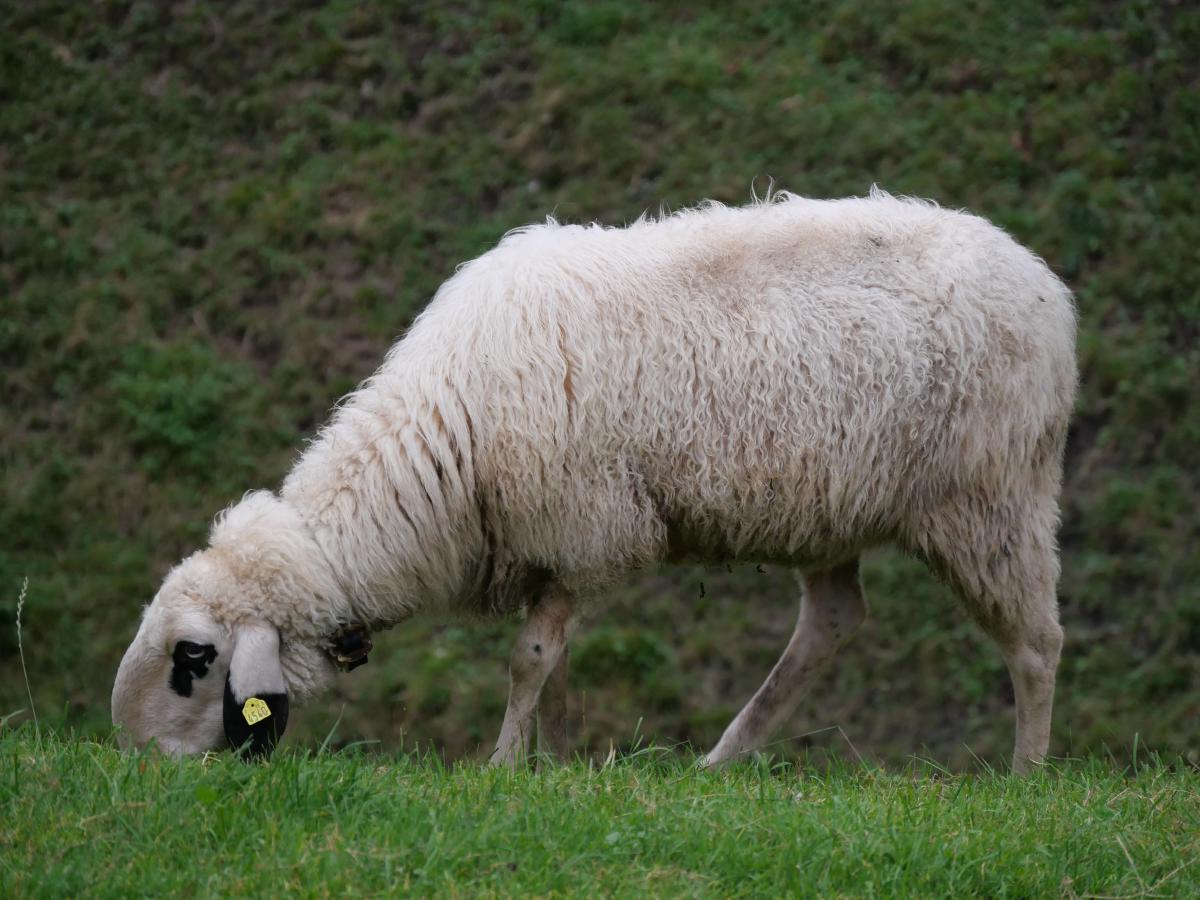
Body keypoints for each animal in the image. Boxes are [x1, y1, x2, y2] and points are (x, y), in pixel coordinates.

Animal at [112, 189, 1077, 771]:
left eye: (192, 660)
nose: (137, 768)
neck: (446, 430)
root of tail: (1041, 282)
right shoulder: (554, 547)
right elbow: (557, 664)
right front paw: (560, 765)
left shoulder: (577, 525)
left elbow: (530, 658)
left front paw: (503, 766)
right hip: (831, 506)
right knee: (833, 623)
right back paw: (721, 762)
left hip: (991, 495)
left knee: (1036, 643)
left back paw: (1024, 777)